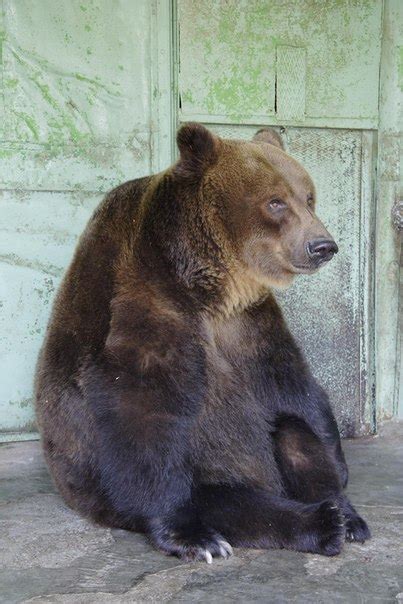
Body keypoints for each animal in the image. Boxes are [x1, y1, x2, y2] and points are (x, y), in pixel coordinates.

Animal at [36, 122, 370, 560]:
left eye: (309, 197)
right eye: (275, 202)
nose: (323, 245)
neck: (210, 283)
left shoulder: (249, 322)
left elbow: (293, 384)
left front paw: (343, 480)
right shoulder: (147, 298)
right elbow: (141, 407)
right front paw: (185, 533)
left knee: (294, 433)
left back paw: (343, 516)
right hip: (188, 471)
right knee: (228, 502)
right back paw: (306, 525)